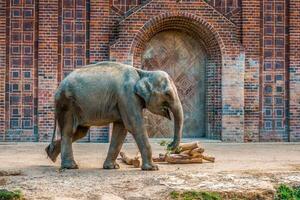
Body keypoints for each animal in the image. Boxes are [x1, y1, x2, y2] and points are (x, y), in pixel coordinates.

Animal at [45, 61, 184, 170]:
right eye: (167, 94)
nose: (169, 146)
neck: (143, 73)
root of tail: (58, 87)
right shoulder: (127, 95)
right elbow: (134, 125)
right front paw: (153, 168)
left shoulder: (124, 100)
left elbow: (121, 129)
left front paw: (111, 167)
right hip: (66, 104)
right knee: (69, 131)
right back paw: (70, 166)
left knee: (80, 132)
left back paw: (50, 154)